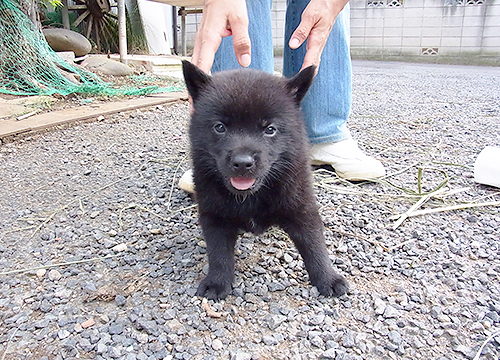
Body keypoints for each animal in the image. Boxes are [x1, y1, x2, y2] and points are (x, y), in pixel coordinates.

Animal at [182, 62, 350, 300]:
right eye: (220, 127)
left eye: (270, 129)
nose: (242, 163)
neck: (251, 196)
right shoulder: (214, 215)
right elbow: (219, 253)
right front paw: (217, 282)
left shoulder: (301, 207)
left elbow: (314, 245)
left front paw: (328, 278)